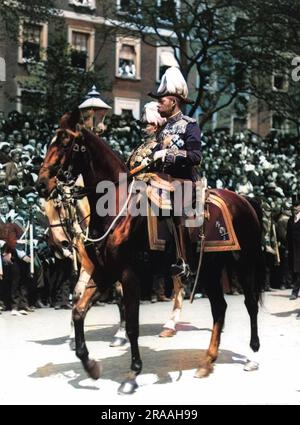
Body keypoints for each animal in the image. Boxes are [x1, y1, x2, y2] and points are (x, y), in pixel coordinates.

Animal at [37, 112, 262, 394]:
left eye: (65, 143)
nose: (41, 183)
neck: (114, 207)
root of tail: (244, 200)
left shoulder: (129, 275)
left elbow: (132, 326)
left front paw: (132, 374)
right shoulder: (103, 272)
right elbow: (78, 310)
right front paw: (89, 364)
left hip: (244, 263)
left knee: (250, 304)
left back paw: (251, 356)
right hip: (209, 268)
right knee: (219, 308)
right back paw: (207, 361)